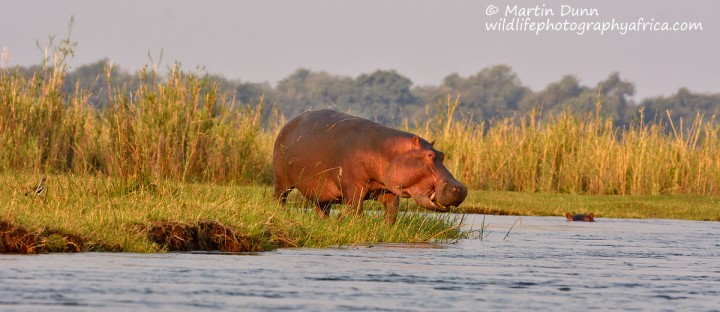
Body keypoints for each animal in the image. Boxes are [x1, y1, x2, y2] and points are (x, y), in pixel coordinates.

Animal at [272, 108, 470, 223]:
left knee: (322, 209)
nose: (460, 188)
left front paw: (386, 227)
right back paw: (280, 213)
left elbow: (392, 212)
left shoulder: (388, 189)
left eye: (442, 155)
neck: (388, 151)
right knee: (280, 197)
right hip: (281, 180)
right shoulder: (353, 188)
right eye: (429, 155)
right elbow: (356, 211)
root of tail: (286, 125)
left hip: (322, 195)